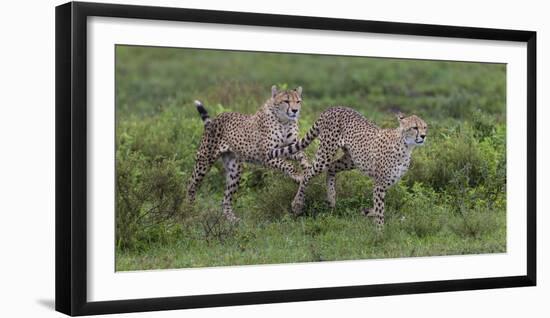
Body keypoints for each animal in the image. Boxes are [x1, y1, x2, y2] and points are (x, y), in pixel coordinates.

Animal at [189, 85, 310, 222]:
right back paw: (189, 210)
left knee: (225, 198)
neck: (284, 121)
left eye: (298, 101)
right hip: (204, 161)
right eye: (286, 101)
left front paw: (307, 168)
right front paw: (298, 175)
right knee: (191, 185)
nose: (295, 110)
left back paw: (232, 219)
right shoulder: (267, 155)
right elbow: (288, 165)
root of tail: (217, 118)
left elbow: (303, 156)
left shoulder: (290, 148)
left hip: (234, 170)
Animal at [270, 107, 430, 229]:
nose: (423, 136)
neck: (406, 146)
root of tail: (334, 108)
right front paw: (380, 231)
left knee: (331, 168)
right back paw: (298, 204)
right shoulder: (380, 184)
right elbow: (380, 209)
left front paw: (367, 212)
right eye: (414, 127)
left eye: (425, 127)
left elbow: (377, 206)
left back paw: (331, 197)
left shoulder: (386, 182)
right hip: (326, 153)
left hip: (351, 159)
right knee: (308, 173)